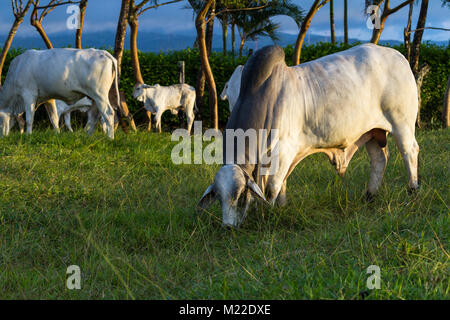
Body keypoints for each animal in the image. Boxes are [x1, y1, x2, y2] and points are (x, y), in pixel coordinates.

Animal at [199, 44, 420, 228]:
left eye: (240, 194)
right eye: (218, 196)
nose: (228, 227)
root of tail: (398, 56)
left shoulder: (282, 152)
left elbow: (271, 189)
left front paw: (266, 216)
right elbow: (282, 183)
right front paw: (281, 207)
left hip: (402, 123)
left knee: (410, 152)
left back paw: (412, 190)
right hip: (372, 132)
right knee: (379, 159)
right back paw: (370, 195)